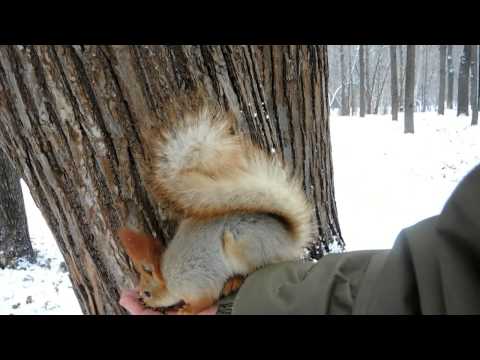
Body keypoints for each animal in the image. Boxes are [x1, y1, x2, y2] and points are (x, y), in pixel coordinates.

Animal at [119, 98, 316, 316]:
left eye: (147, 292)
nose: (143, 301)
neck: (169, 279)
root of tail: (287, 240)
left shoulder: (197, 282)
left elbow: (205, 299)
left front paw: (186, 310)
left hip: (243, 245)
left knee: (254, 270)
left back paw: (234, 281)